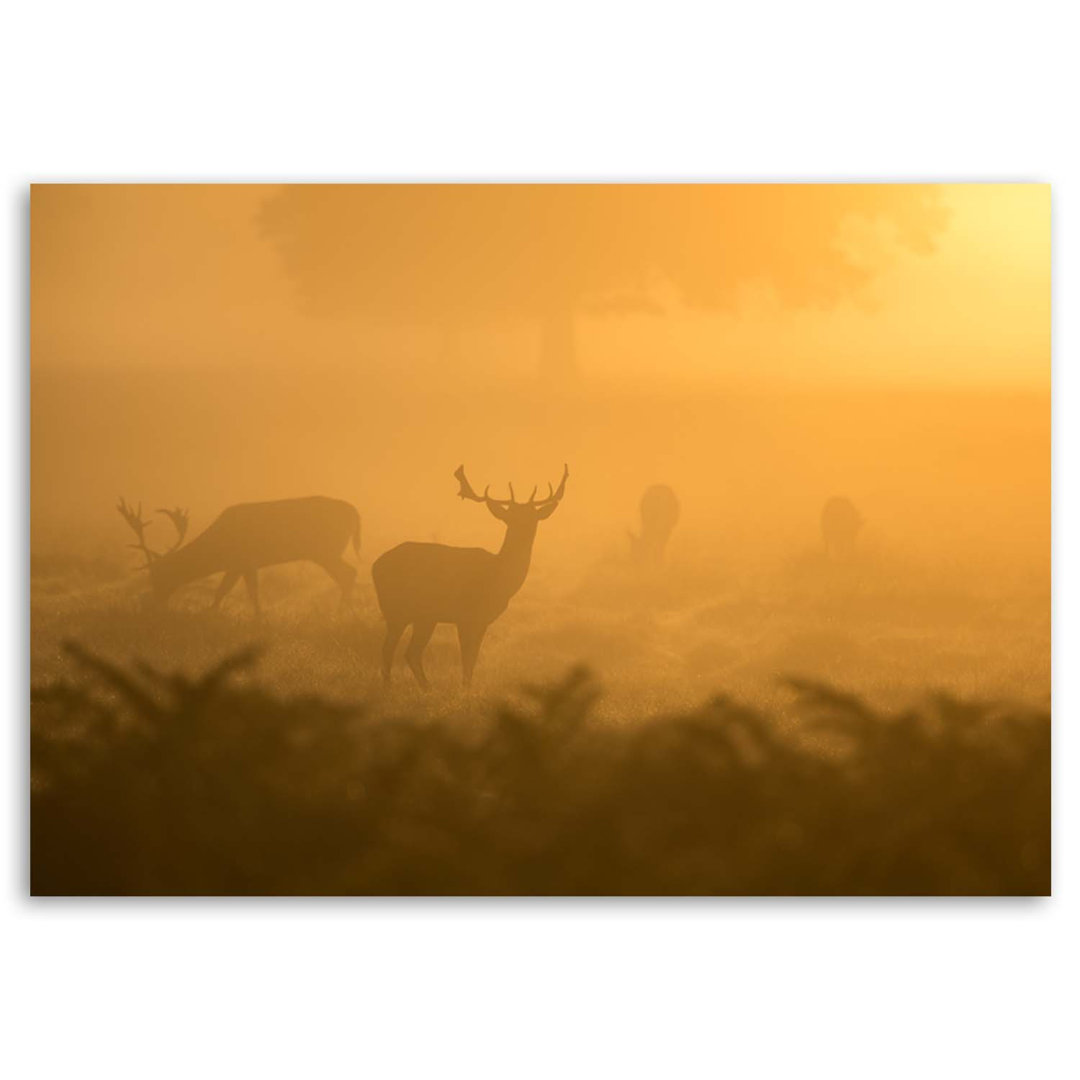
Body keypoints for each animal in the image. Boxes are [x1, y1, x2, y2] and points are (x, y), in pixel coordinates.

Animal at [117, 494, 360, 613]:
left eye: (158, 575)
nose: (153, 603)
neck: (219, 549)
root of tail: (354, 512)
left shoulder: (243, 560)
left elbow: (233, 591)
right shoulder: (241, 565)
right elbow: (236, 591)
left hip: (326, 551)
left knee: (349, 573)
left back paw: (339, 614)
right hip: (326, 552)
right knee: (349, 574)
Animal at [371, 466, 570, 691]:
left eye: (533, 517)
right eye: (510, 517)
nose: (523, 530)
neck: (499, 578)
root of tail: (374, 566)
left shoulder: (482, 620)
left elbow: (473, 658)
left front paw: (467, 687)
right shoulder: (466, 615)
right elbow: (467, 657)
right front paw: (465, 688)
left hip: (425, 617)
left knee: (410, 652)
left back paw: (426, 687)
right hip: (396, 609)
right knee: (389, 649)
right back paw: (390, 686)